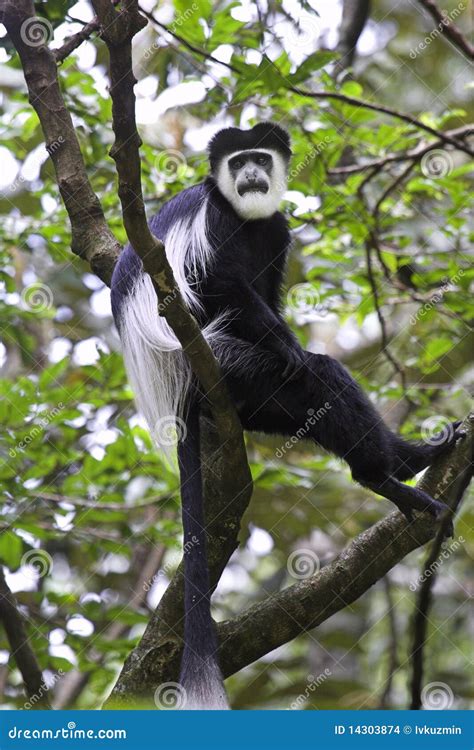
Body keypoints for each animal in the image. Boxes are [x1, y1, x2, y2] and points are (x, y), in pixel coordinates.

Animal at [110, 122, 460, 709]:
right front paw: (291, 346)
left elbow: (266, 288)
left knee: (315, 400)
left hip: (254, 398)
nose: (251, 174)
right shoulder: (215, 221)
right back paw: (382, 471)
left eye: (260, 158)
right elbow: (217, 282)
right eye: (238, 162)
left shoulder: (275, 231)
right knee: (315, 373)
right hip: (227, 365)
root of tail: (178, 394)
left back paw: (405, 464)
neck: (244, 213)